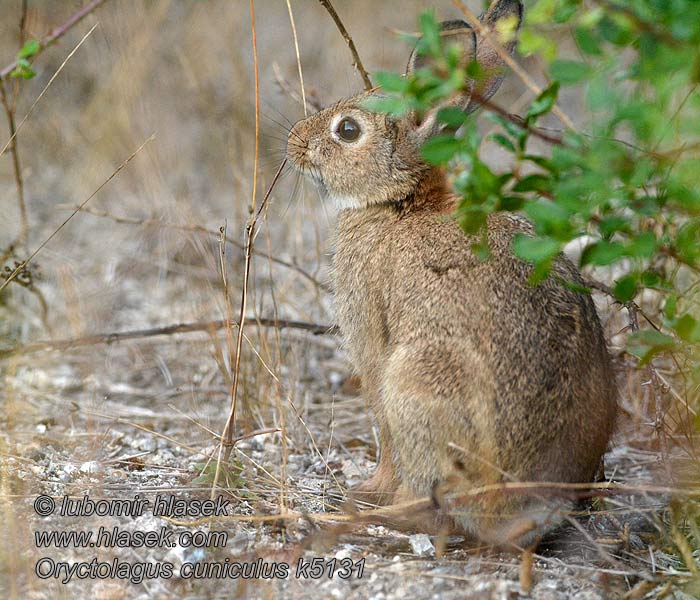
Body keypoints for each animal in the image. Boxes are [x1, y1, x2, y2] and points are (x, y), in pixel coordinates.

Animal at [284, 0, 616, 548]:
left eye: (348, 130)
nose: (293, 141)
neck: (401, 200)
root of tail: (513, 508)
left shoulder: (373, 347)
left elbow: (385, 438)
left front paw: (369, 489)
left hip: (417, 382)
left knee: (432, 505)